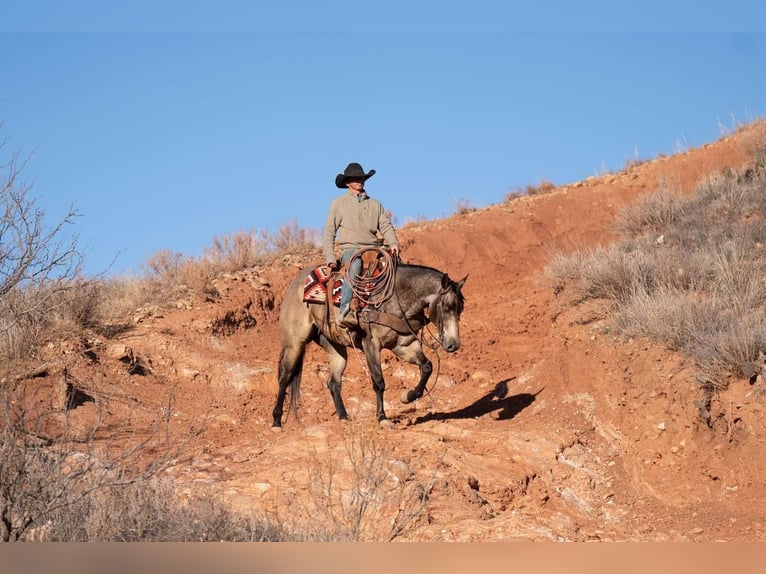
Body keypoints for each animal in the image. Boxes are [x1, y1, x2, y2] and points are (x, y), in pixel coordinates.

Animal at [272, 250, 472, 430]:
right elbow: (379, 381)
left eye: (461, 308)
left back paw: (343, 417)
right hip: (294, 345)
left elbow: (427, 367)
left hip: (335, 348)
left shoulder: (404, 345)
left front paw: (407, 396)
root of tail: (295, 285)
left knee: (333, 382)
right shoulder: (371, 345)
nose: (453, 345)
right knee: (284, 378)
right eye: (446, 307)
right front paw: (382, 418)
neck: (394, 298)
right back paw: (276, 421)